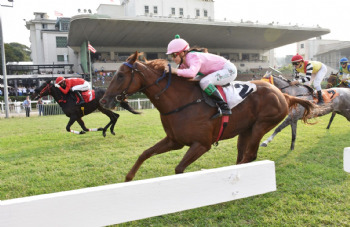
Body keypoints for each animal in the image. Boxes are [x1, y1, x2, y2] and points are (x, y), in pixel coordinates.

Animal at [99, 50, 320, 182]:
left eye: (120, 75)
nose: (103, 101)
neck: (181, 102)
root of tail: (282, 93)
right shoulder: (174, 141)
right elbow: (145, 153)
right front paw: (128, 178)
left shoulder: (201, 144)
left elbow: (179, 168)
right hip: (245, 130)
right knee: (243, 155)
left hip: (261, 126)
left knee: (250, 155)